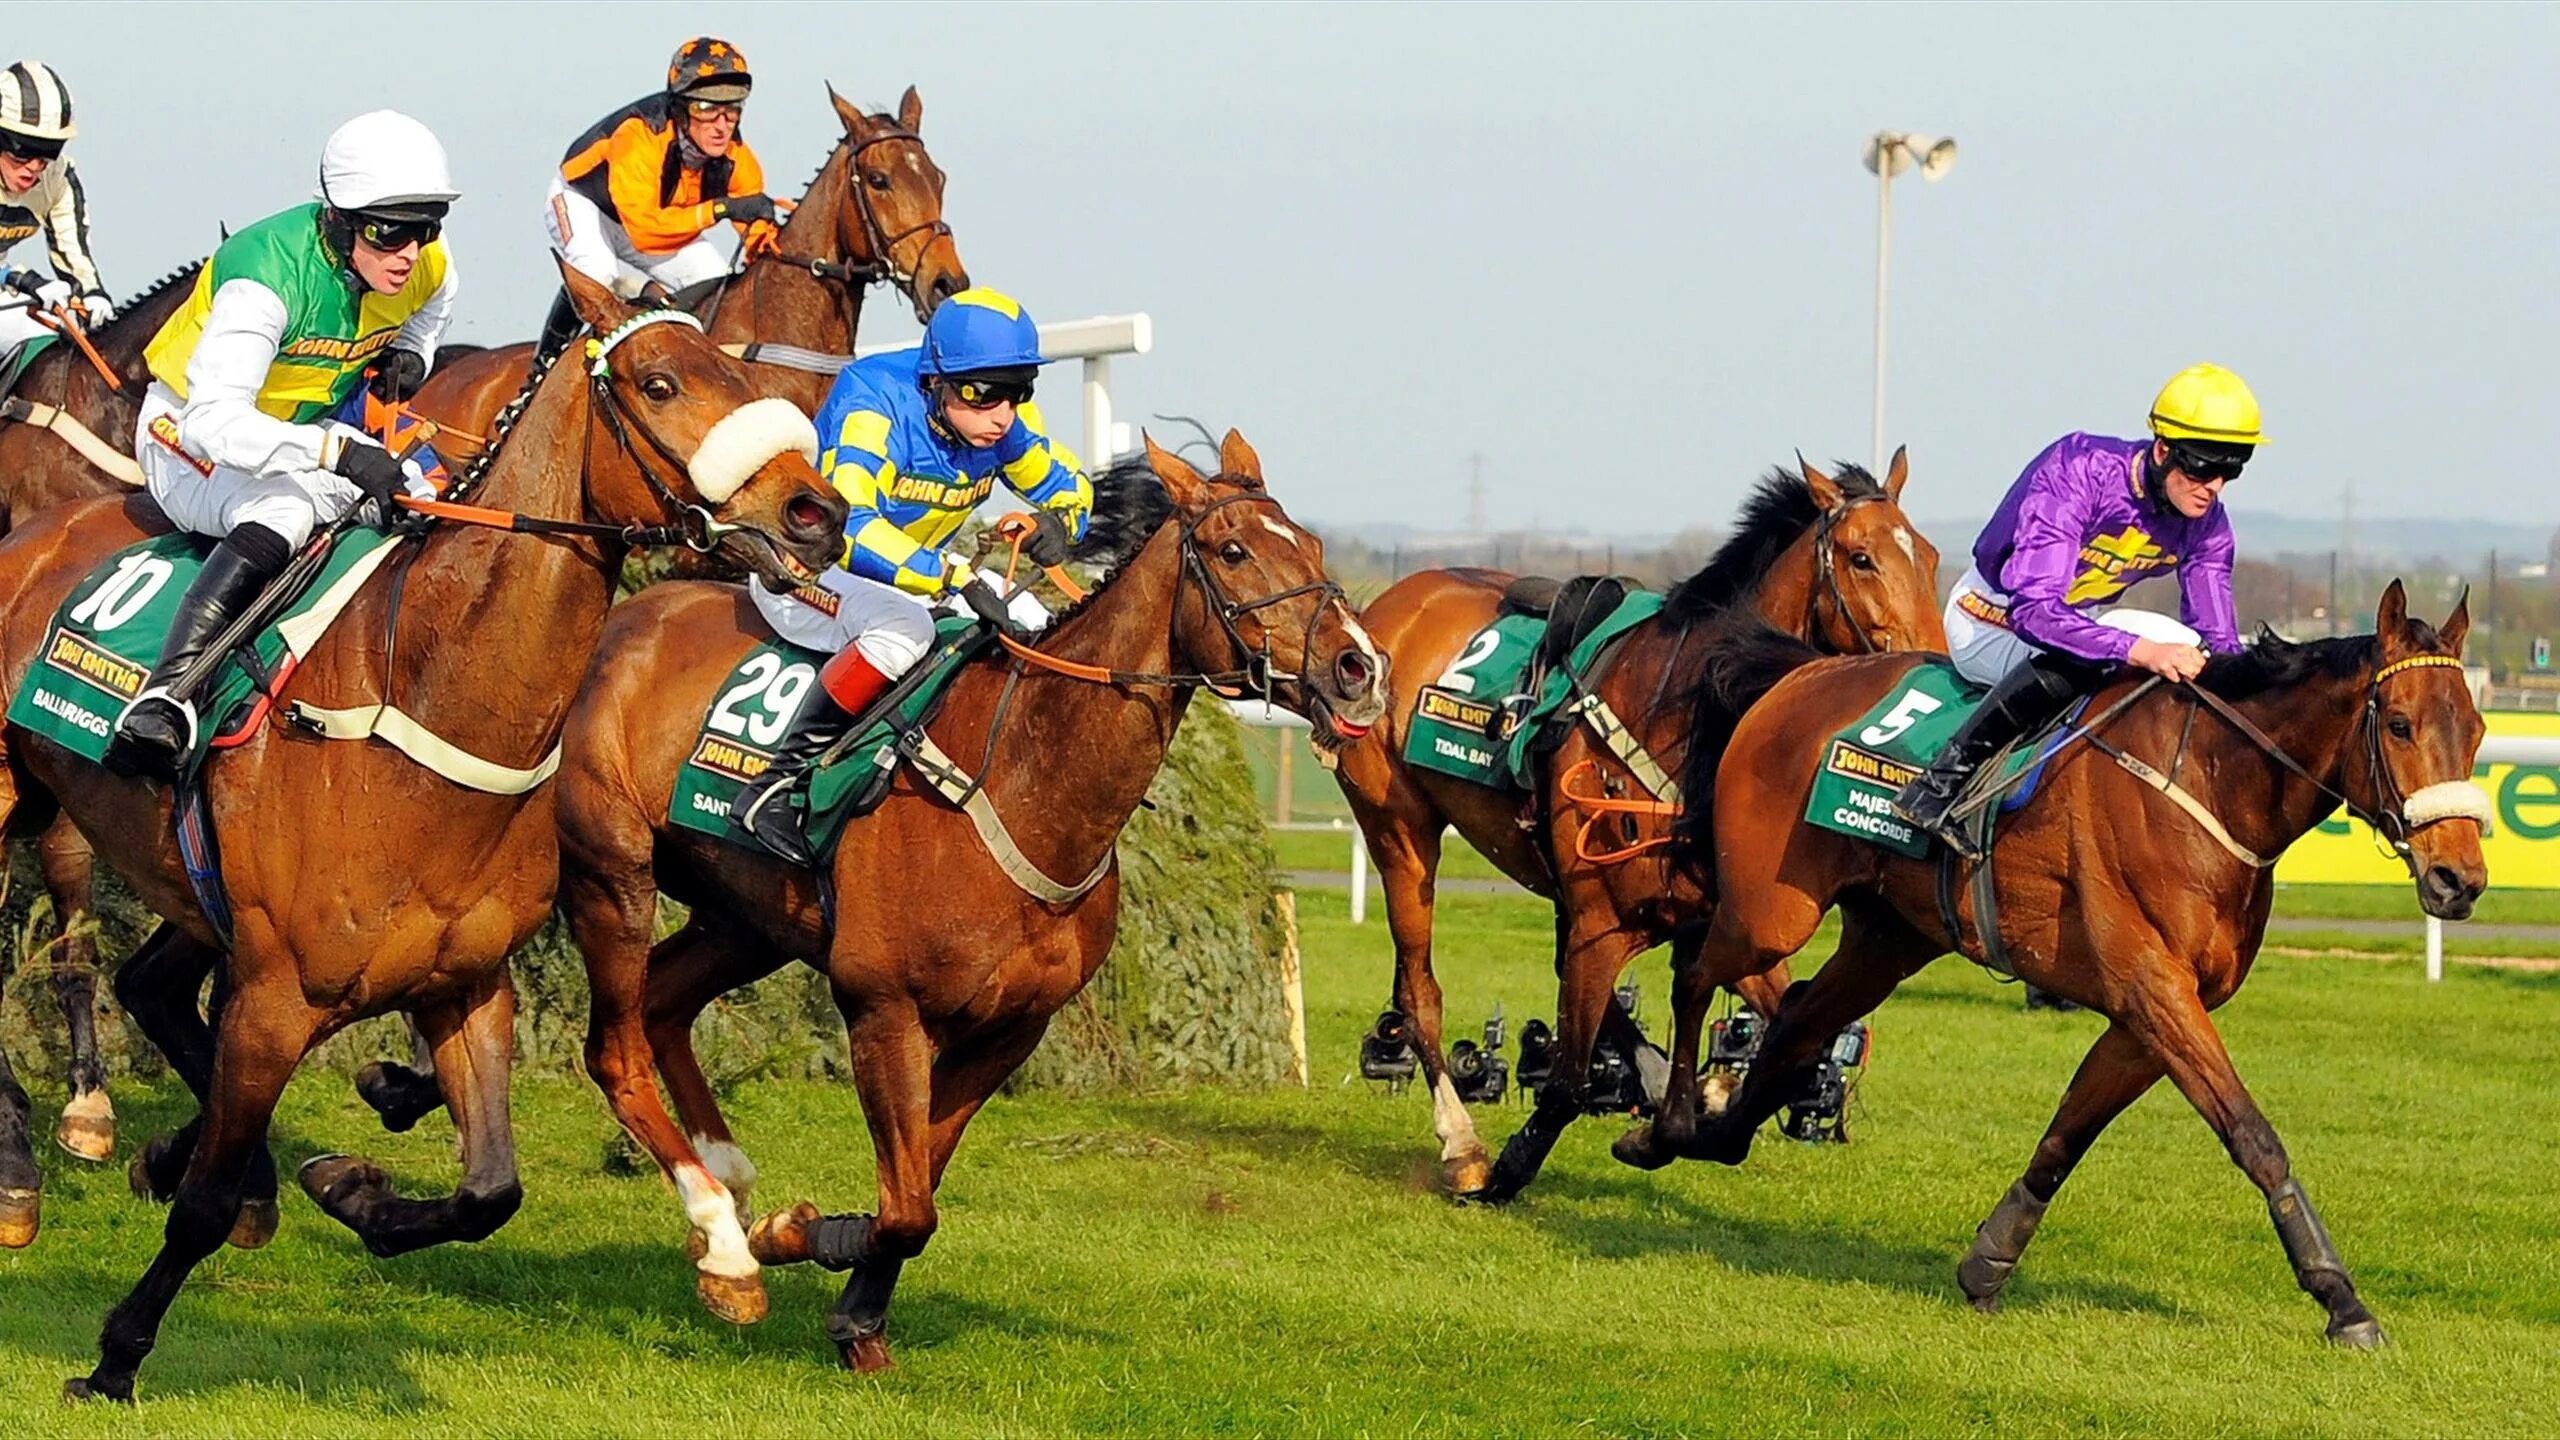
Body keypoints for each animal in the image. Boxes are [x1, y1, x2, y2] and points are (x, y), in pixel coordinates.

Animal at [0, 263, 855, 1393]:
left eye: (741, 369)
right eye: (660, 382)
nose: (816, 513)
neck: (425, 698)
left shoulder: (467, 985)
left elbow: (491, 1192)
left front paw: (348, 1188)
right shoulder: (277, 995)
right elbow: (202, 1208)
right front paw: (115, 1358)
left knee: (150, 986)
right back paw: (24, 1164)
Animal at [552, 430, 1392, 1363]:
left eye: (1311, 546)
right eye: (1232, 549)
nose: (1359, 668)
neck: (1026, 782)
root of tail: (621, 621)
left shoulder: (1011, 1030)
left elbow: (916, 1194)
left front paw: (854, 1314)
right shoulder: (884, 1009)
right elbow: (908, 1206)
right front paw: (793, 1237)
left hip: (748, 919)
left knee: (664, 1003)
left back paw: (727, 1195)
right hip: (612, 874)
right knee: (615, 1048)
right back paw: (728, 1243)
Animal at [1341, 453, 1935, 1194]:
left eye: (1929, 556)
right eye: (1862, 558)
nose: (1933, 670)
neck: (1690, 710)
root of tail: (1392, 603)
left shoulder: (1719, 919)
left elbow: (1793, 1028)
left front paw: (1711, 1093)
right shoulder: (1603, 920)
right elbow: (1565, 1082)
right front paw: (1509, 1168)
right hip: (1398, 829)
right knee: (1419, 990)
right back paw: (1462, 1142)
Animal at [1617, 576, 2478, 1342]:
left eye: (2471, 729)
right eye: (2401, 725)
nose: (2459, 879)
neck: (2206, 781)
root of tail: (1799, 673)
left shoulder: (2150, 1011)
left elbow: (2067, 1133)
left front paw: (1988, 1262)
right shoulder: (2152, 988)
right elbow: (2252, 1135)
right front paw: (2341, 1299)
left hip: (1889, 937)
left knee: (1798, 1019)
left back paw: (1721, 1134)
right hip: (1771, 909)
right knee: (1696, 975)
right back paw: (1668, 1126)